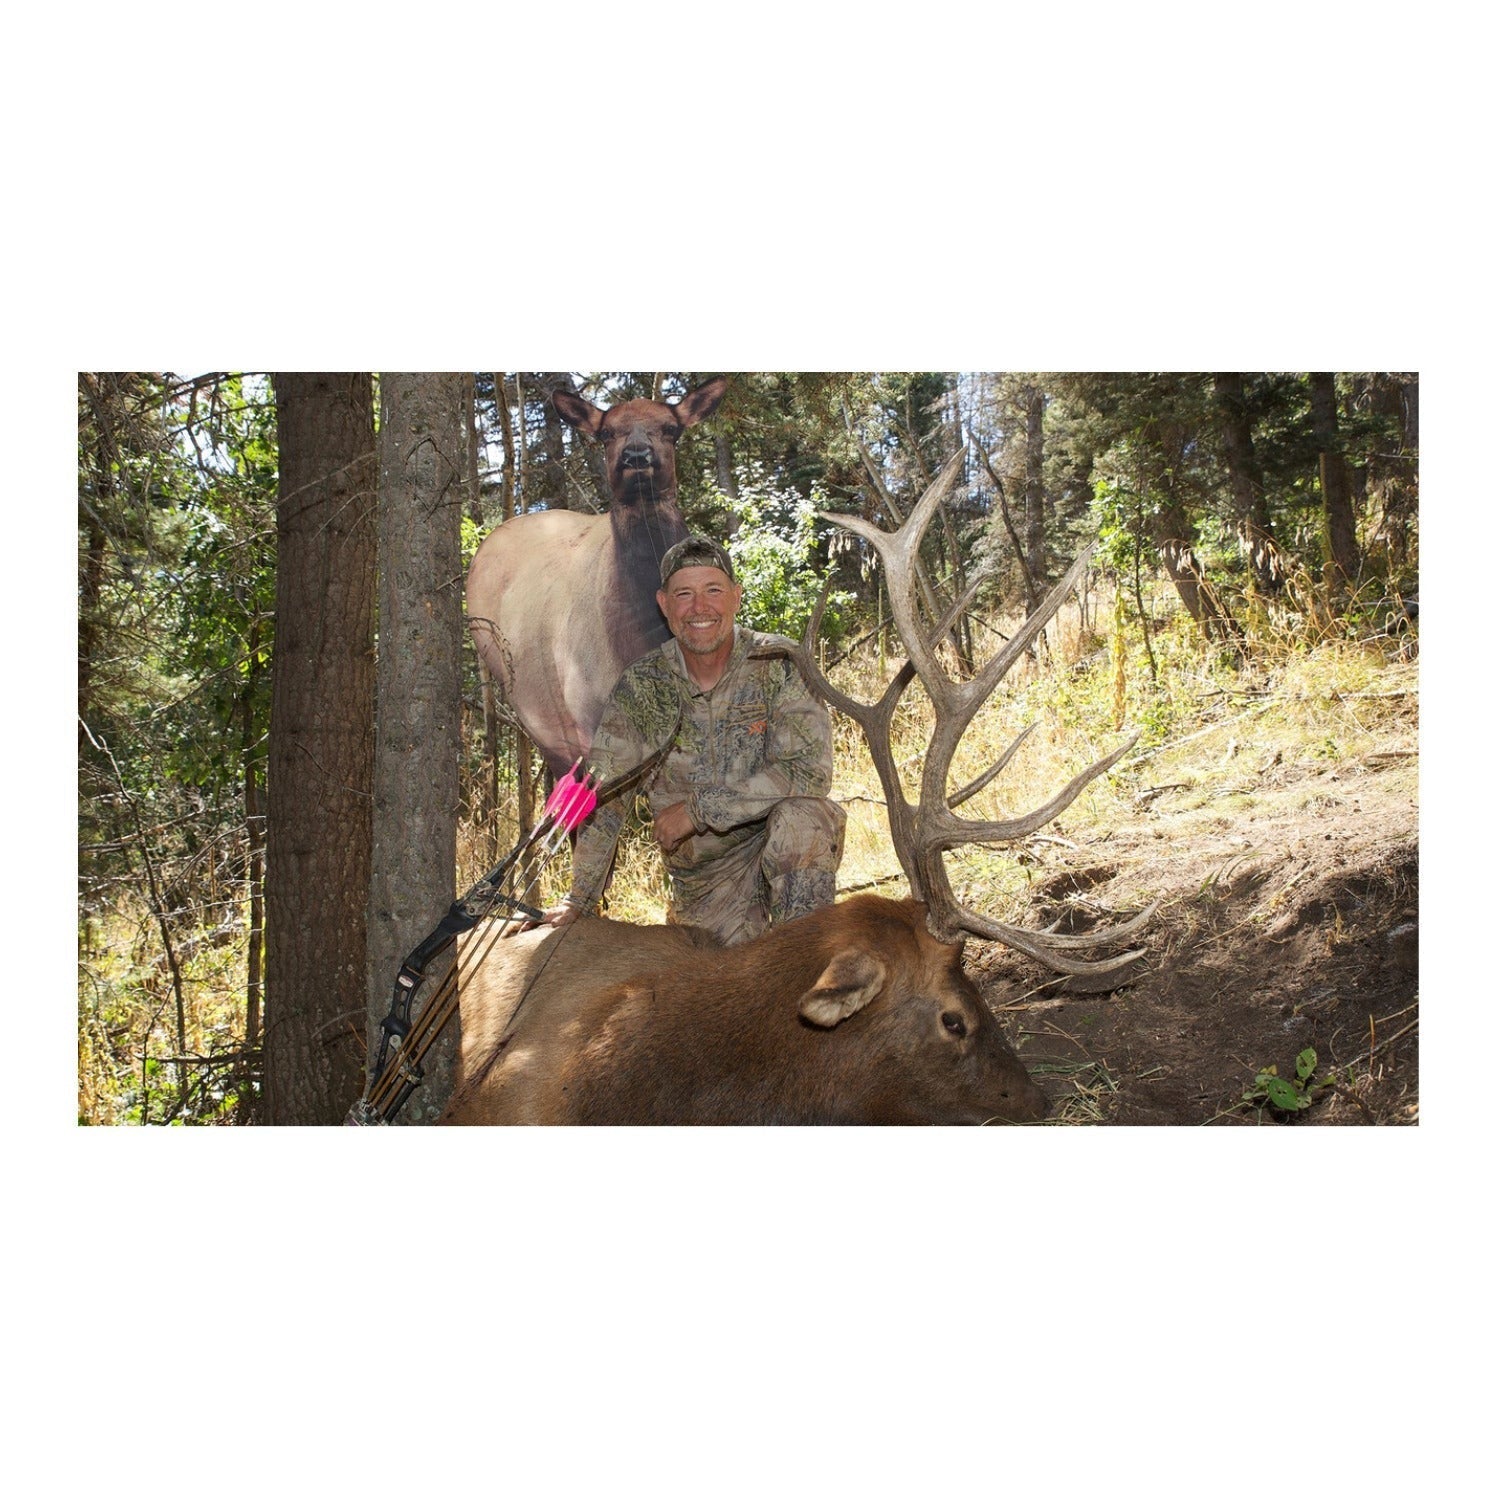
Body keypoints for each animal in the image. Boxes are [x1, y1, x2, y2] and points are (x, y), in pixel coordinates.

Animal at [465, 377, 727, 777]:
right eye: (606, 433)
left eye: (671, 428)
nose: (636, 456)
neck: (639, 634)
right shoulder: (589, 708)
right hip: (533, 706)